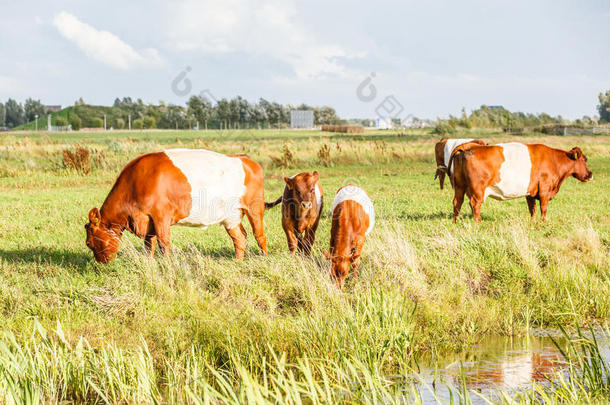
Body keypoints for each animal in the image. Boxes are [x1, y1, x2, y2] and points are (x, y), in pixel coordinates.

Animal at [85, 148, 266, 262]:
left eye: (89, 243)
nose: (101, 264)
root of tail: (243, 159)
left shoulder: (161, 216)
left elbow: (163, 244)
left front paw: (167, 265)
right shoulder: (148, 222)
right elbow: (148, 246)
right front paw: (150, 264)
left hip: (255, 208)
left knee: (259, 235)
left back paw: (263, 259)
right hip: (231, 216)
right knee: (240, 237)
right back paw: (237, 261)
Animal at [446, 142, 588, 223]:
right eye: (584, 160)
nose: (590, 174)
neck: (554, 161)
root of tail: (470, 146)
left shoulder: (531, 192)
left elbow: (532, 209)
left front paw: (532, 223)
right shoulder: (544, 189)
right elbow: (543, 208)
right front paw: (543, 223)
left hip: (459, 186)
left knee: (457, 202)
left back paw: (455, 222)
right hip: (477, 190)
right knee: (475, 204)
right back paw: (478, 223)